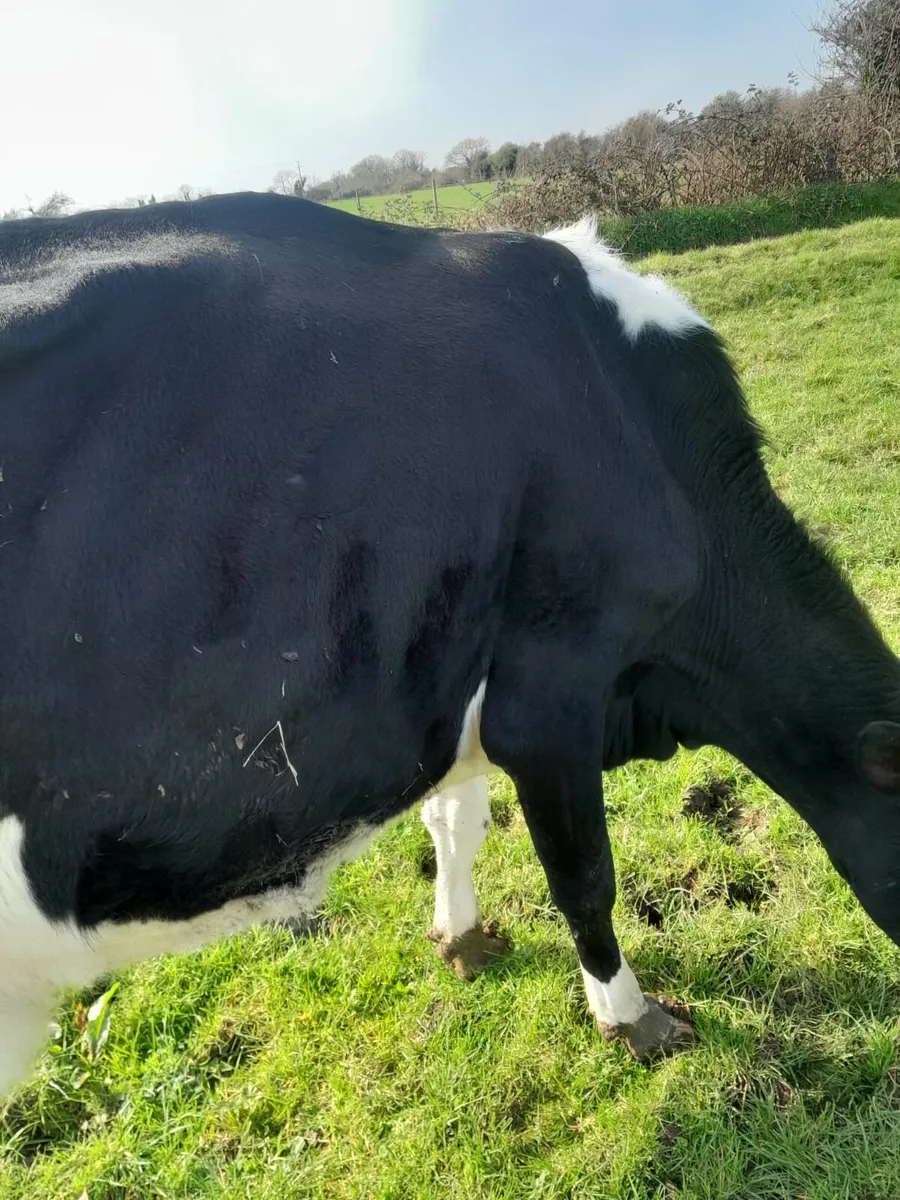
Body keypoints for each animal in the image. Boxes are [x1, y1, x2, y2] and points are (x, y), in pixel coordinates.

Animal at [1, 192, 899, 1098]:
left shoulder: (461, 674)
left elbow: (456, 820)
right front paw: (632, 1018)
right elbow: (584, 877)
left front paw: (461, 937)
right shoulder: (549, 701)